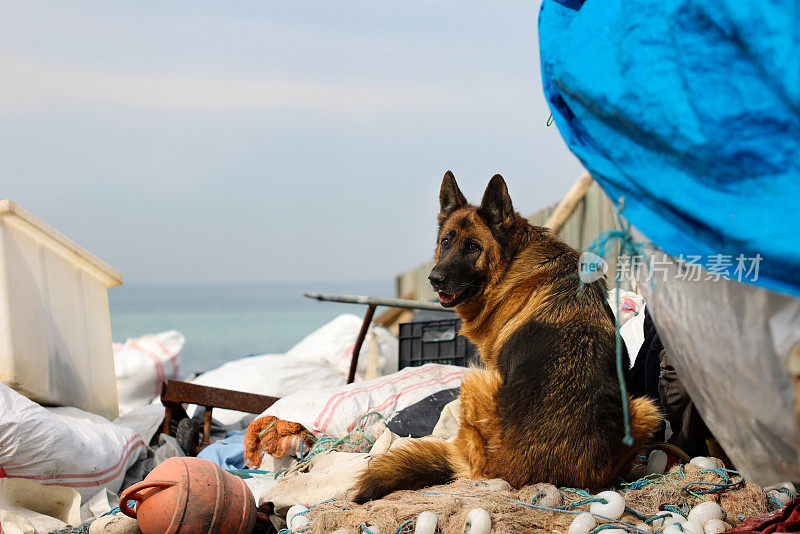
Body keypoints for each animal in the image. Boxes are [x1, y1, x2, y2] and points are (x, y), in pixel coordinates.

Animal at [352, 174, 664, 504]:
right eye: (446, 241)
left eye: (473, 247)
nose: (435, 279)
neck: (512, 259)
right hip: (644, 409)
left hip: (473, 382)